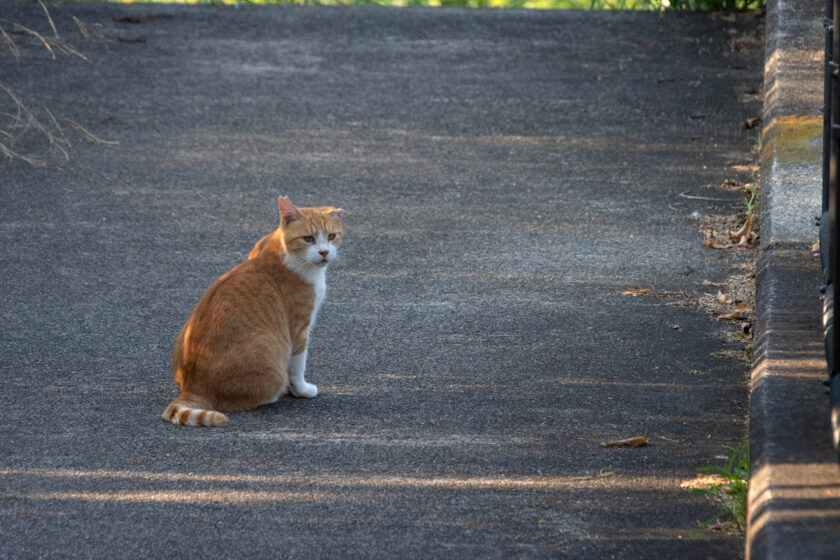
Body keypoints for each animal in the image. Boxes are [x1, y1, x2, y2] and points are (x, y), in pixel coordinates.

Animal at [161, 195, 344, 426]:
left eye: (331, 236)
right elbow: (298, 365)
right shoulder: (299, 329)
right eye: (308, 239)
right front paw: (301, 390)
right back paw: (275, 393)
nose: (324, 252)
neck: (287, 255)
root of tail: (193, 386)